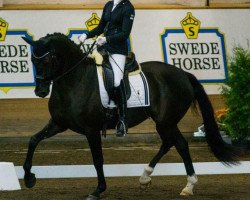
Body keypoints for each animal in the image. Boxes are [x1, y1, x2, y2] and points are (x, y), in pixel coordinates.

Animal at [22, 33, 241, 199]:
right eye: (32, 60)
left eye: (47, 60)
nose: (40, 91)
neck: (75, 81)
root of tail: (183, 74)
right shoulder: (58, 124)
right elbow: (33, 140)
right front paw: (29, 178)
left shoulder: (91, 130)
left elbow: (97, 159)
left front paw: (98, 190)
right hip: (164, 122)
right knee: (169, 143)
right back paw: (145, 178)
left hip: (166, 121)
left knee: (180, 144)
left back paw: (189, 185)